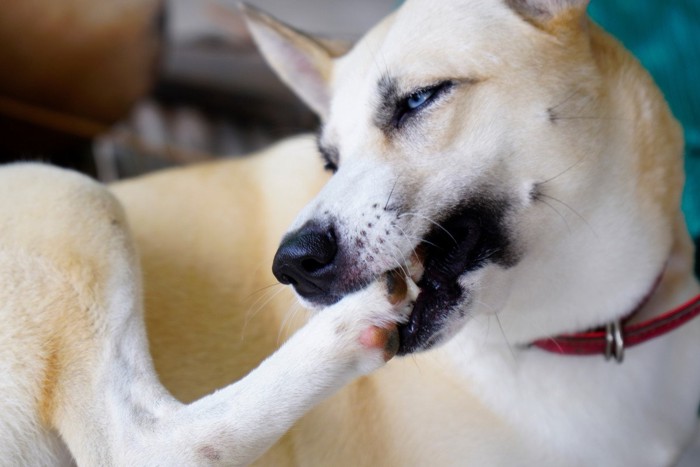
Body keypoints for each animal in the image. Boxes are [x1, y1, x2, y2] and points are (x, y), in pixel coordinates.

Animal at [1, 0, 700, 466]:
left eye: (419, 99)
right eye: (329, 158)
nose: (292, 264)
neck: (586, 331)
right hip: (64, 189)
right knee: (146, 444)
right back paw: (342, 334)